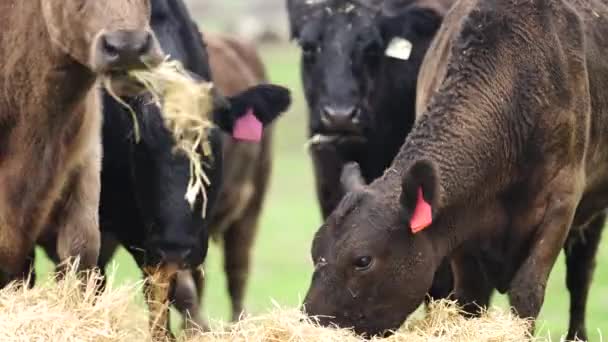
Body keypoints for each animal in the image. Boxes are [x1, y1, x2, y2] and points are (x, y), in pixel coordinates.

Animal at [302, 0, 608, 338]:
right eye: (315, 251)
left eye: (363, 260)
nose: (311, 322)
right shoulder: (463, 221)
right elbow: (469, 301)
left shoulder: (562, 201)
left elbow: (527, 292)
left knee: (580, 275)